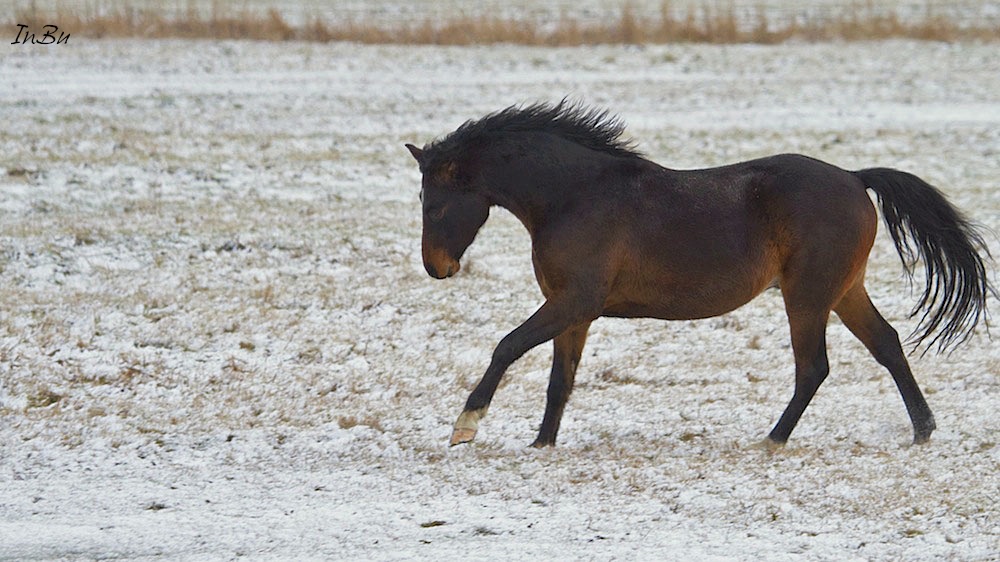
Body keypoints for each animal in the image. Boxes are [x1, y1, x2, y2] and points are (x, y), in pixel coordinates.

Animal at [402, 100, 996, 448]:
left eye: (434, 203)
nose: (437, 268)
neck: (573, 196)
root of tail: (854, 177)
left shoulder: (574, 302)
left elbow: (507, 346)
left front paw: (465, 426)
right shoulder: (574, 312)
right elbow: (559, 381)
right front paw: (542, 445)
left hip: (807, 296)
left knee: (814, 368)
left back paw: (772, 441)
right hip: (844, 291)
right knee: (888, 345)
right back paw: (923, 431)